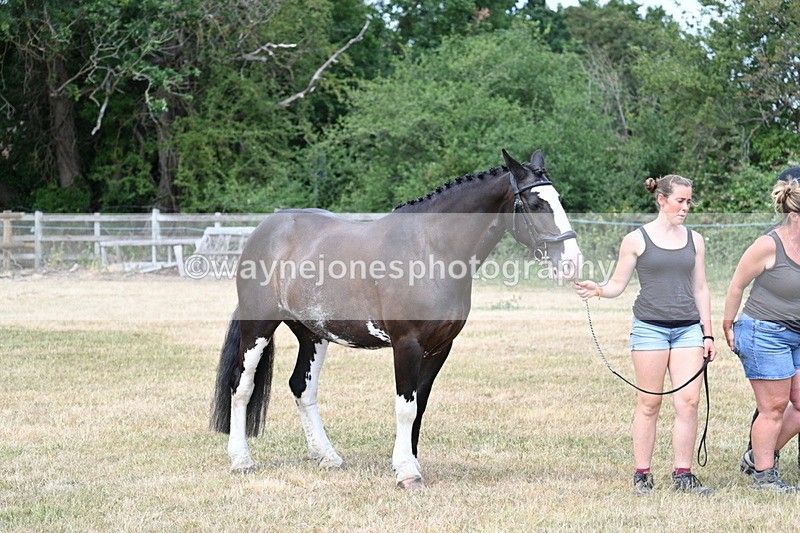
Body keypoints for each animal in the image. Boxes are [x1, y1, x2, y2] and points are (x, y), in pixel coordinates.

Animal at [210, 149, 582, 489]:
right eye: (535, 204)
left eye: (559, 200)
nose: (573, 262)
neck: (431, 251)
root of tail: (265, 231)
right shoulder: (407, 345)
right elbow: (406, 407)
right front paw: (406, 472)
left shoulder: (440, 348)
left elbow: (420, 406)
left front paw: (411, 463)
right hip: (259, 327)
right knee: (241, 386)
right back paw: (241, 460)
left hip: (313, 334)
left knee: (302, 387)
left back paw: (327, 456)